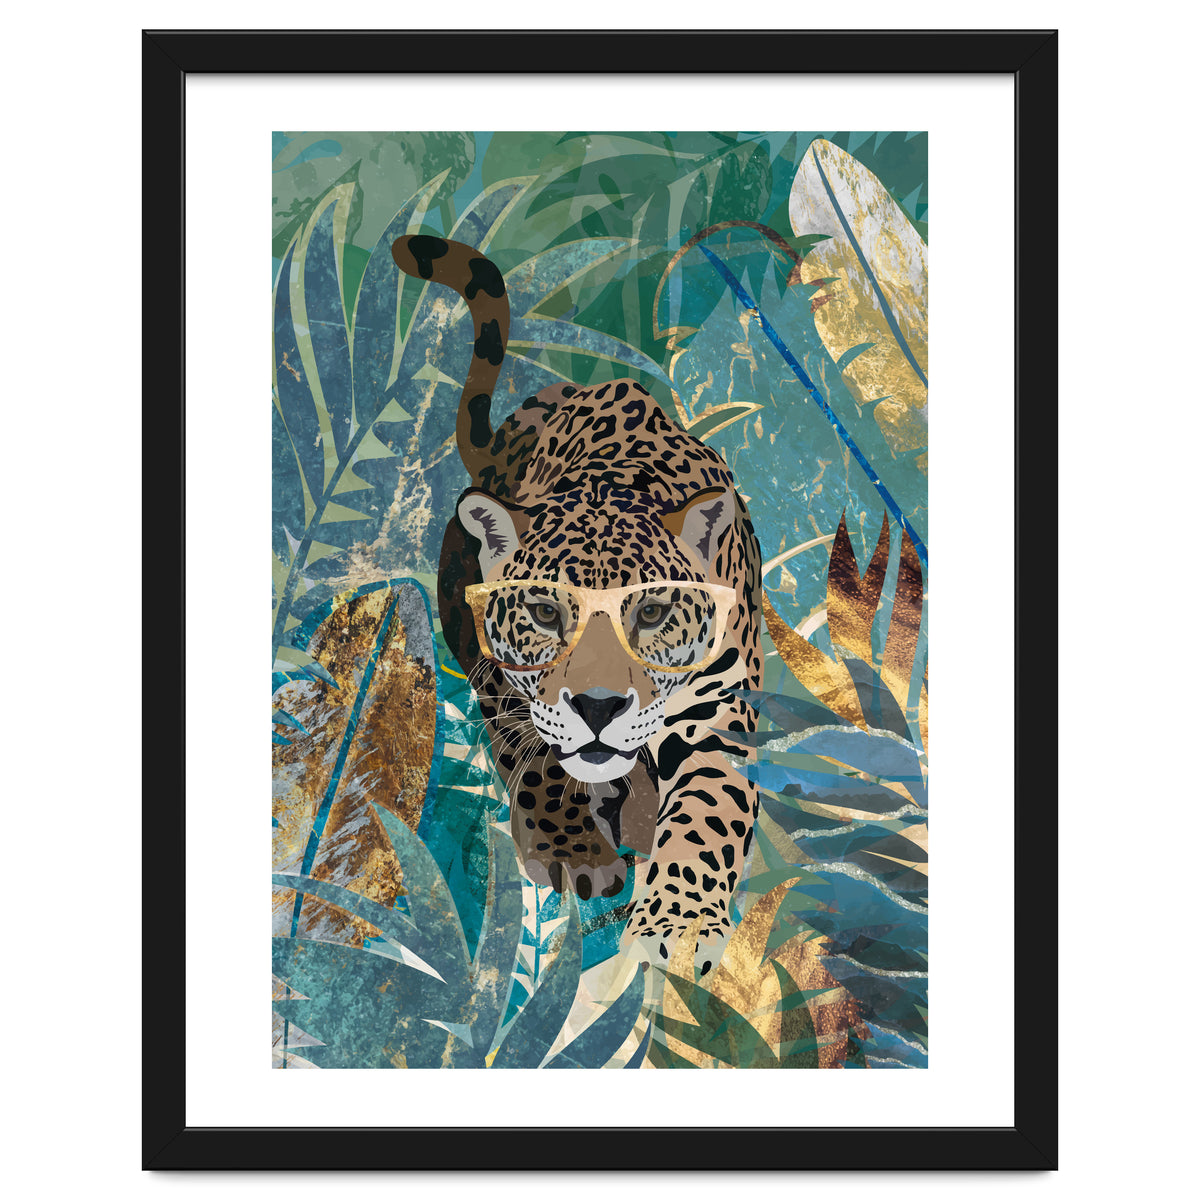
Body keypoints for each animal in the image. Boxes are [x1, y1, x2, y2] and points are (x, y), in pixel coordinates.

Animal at [392, 234, 763, 974]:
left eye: (650, 613)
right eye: (543, 613)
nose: (597, 708)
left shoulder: (718, 712)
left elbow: (707, 810)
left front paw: (678, 924)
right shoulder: (502, 676)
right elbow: (536, 756)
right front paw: (572, 850)